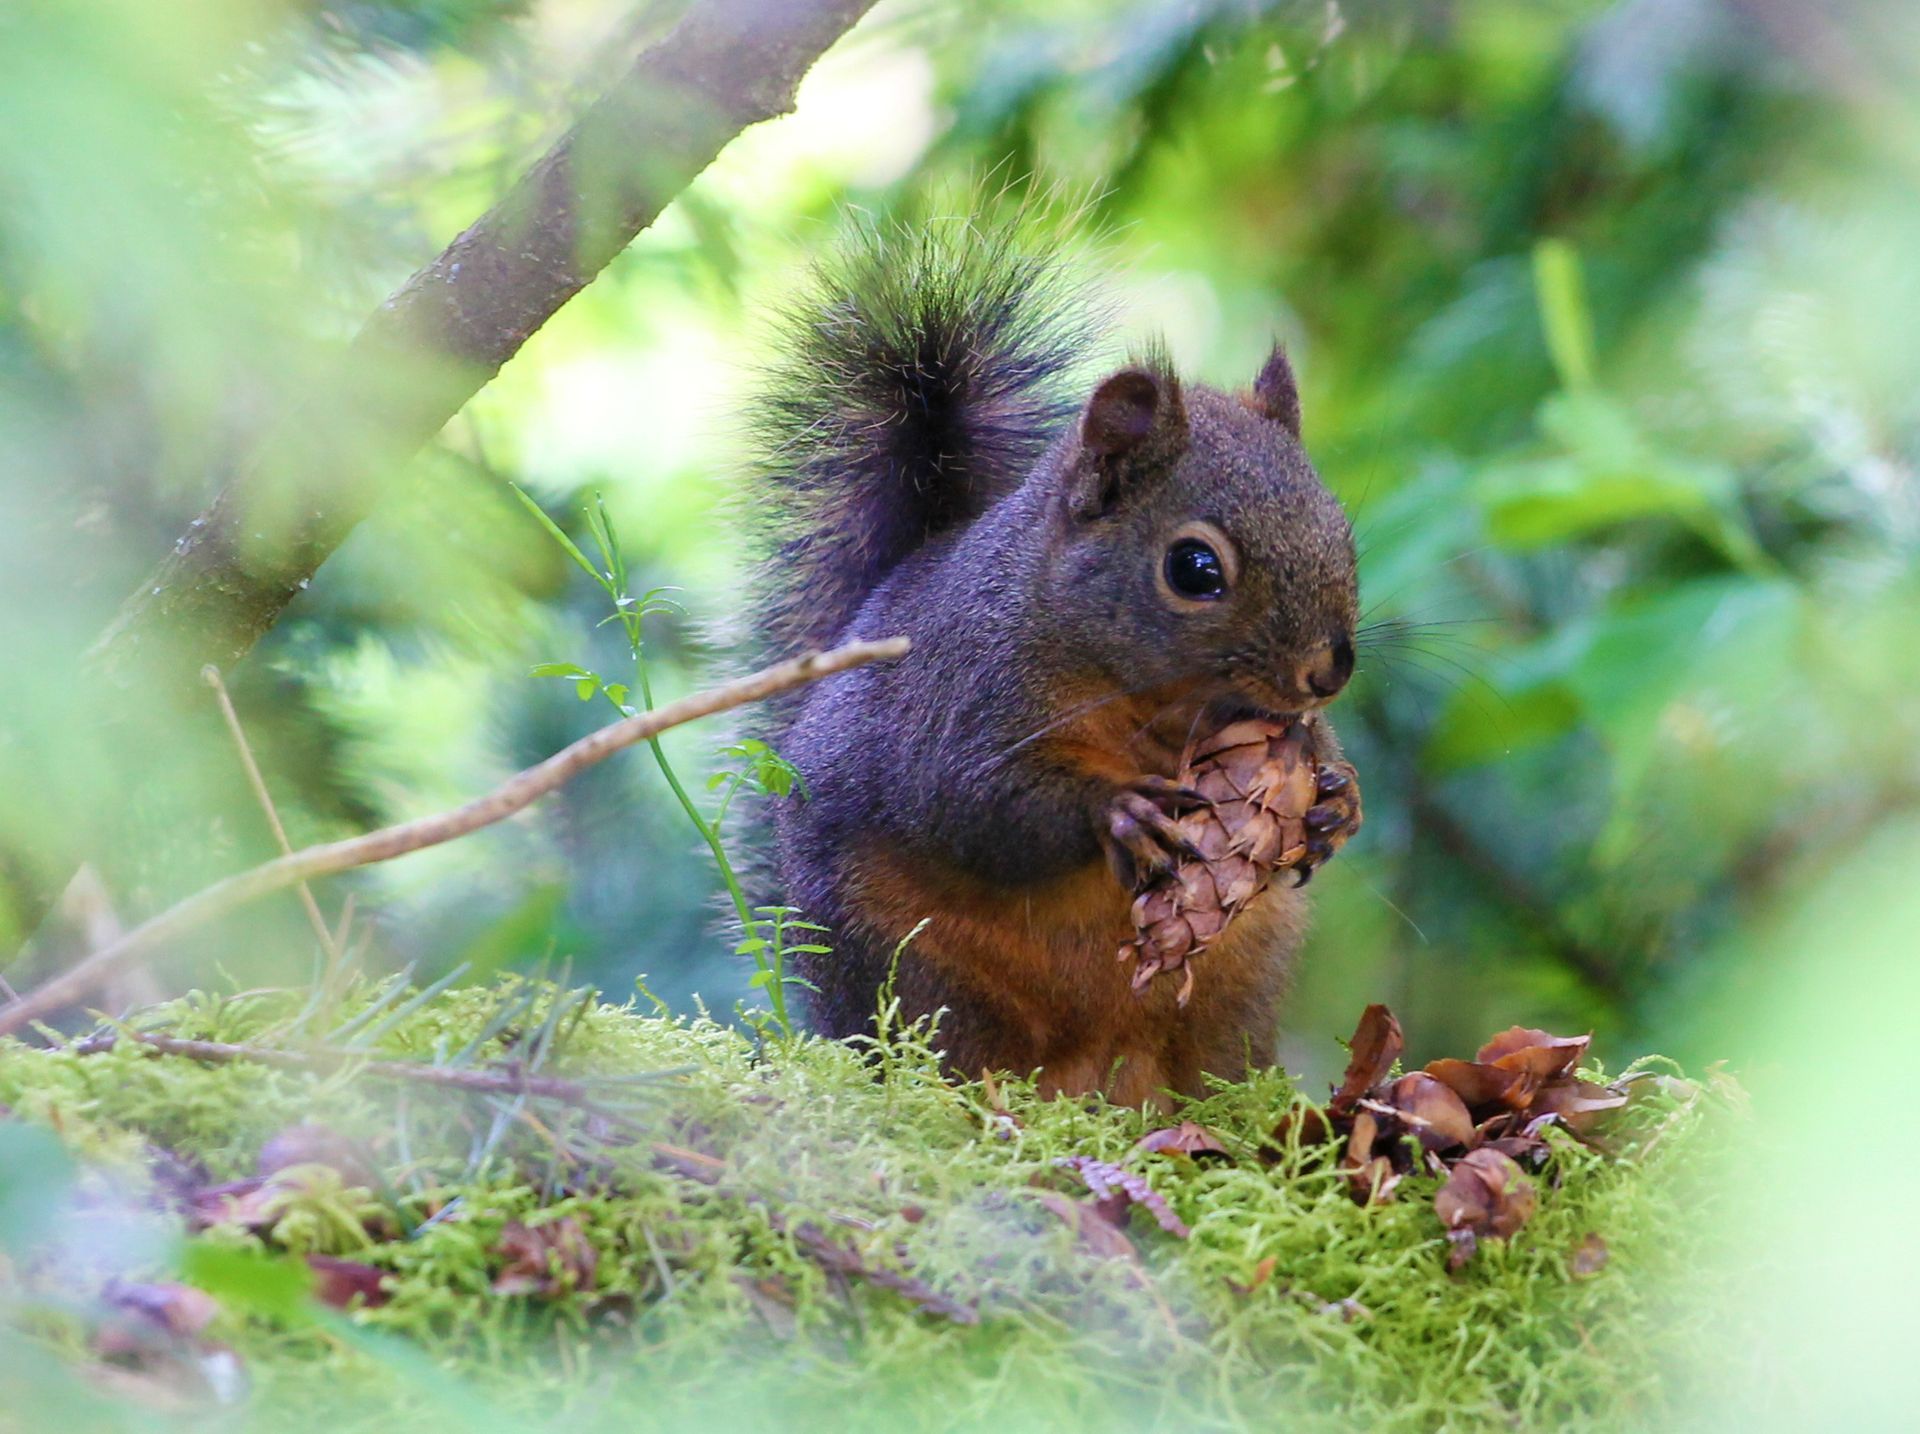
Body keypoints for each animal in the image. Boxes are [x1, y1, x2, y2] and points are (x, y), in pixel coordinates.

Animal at [741, 217, 1362, 1106]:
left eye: (1339, 529)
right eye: (1195, 569)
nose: (1330, 670)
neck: (1152, 705)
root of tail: (1095, 1070)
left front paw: (1340, 798)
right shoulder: (959, 697)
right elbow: (970, 801)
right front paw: (1120, 812)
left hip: (1242, 976)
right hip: (912, 972)